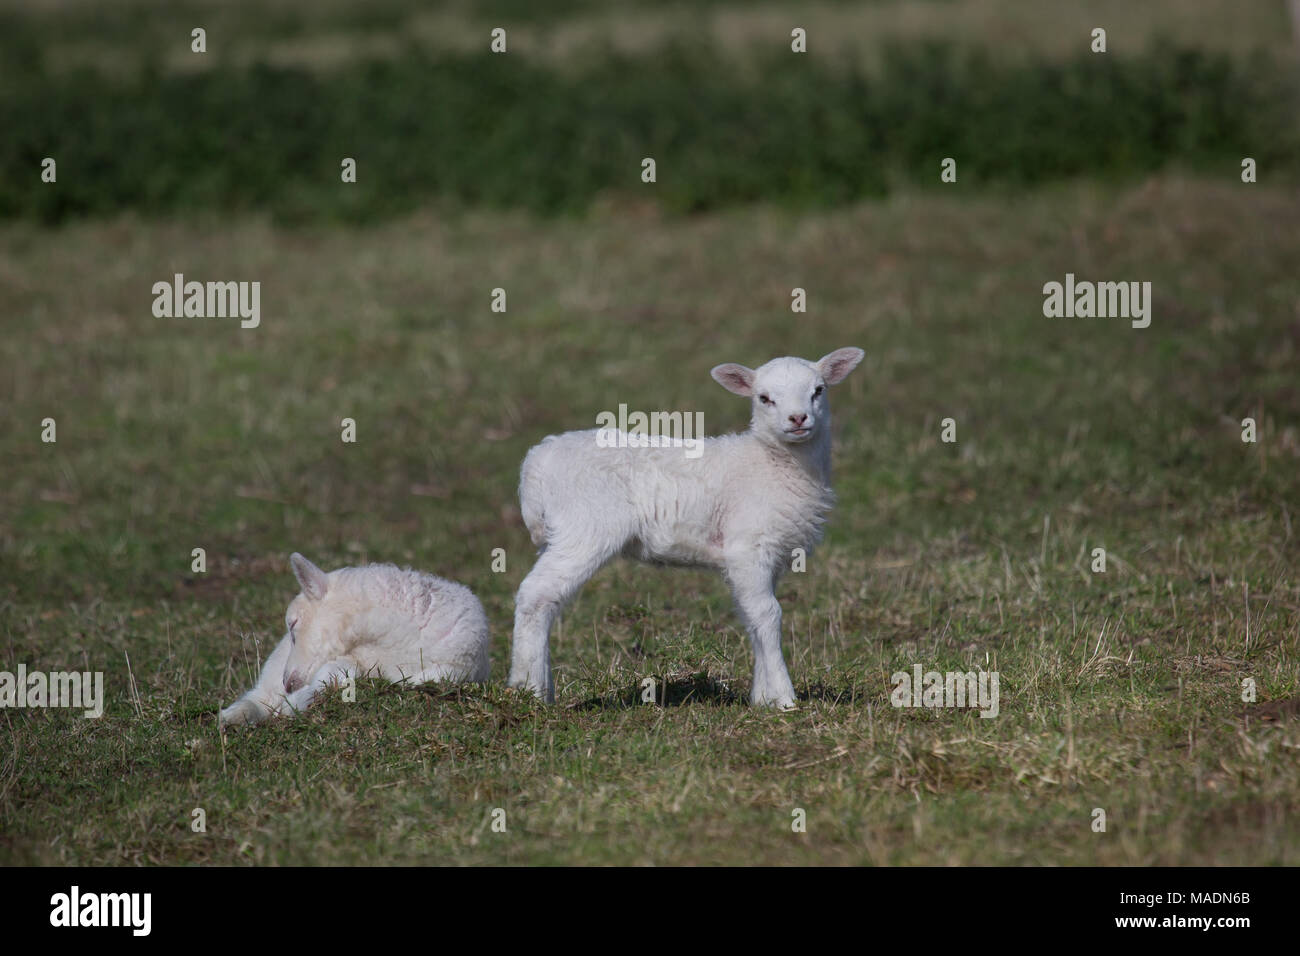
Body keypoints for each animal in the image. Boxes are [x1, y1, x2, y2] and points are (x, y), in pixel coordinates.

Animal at [219, 553, 490, 727]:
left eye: (293, 624)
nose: (289, 684)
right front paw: (295, 702)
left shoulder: (458, 668)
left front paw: (296, 703)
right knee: (260, 697)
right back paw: (233, 717)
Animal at [507, 347, 865, 709]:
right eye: (764, 398)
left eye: (818, 390)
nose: (798, 419)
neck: (772, 462)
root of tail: (537, 460)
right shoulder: (748, 547)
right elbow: (768, 614)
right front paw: (783, 698)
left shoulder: (768, 554)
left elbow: (751, 617)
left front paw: (761, 698)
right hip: (585, 527)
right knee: (535, 595)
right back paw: (528, 690)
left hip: (558, 533)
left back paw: (543, 689)